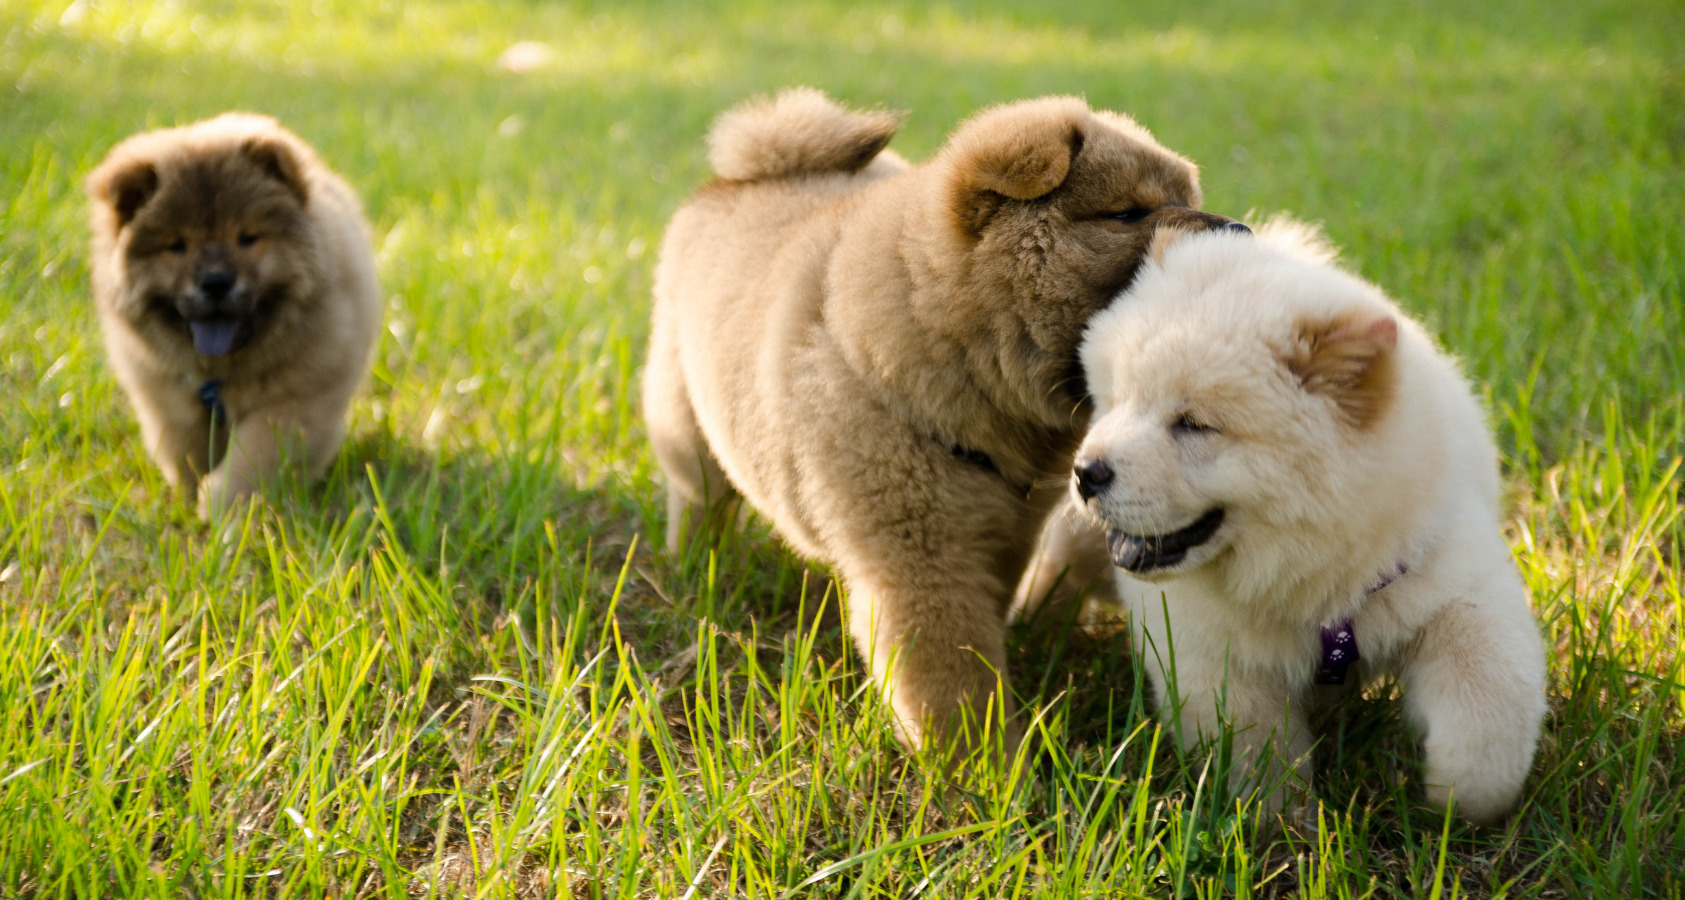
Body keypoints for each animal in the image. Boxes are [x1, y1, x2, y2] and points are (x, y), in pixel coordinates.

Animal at [86, 112, 382, 522]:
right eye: (177, 246)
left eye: (247, 238)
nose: (215, 281)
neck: (221, 373)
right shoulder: (168, 399)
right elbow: (186, 453)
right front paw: (190, 497)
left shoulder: (296, 401)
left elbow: (253, 458)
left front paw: (222, 508)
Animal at [640, 90, 1240, 761]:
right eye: (1128, 213)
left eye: (1187, 198)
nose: (1238, 231)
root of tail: (731, 180)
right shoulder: (920, 558)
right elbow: (953, 678)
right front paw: (986, 771)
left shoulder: (1007, 534)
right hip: (684, 420)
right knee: (698, 496)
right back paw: (694, 566)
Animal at [1058, 222, 1543, 829]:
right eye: (1116, 403)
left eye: (1194, 425)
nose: (1086, 472)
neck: (1307, 577)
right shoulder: (1212, 654)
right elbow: (1255, 748)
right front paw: (1281, 825)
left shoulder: (1445, 581)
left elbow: (1490, 703)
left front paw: (1454, 800)